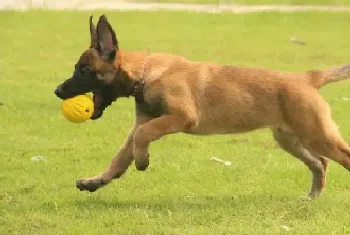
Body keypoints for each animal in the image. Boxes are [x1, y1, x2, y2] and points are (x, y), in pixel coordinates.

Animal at [54, 14, 350, 198]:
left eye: (83, 71)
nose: (57, 91)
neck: (145, 73)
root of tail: (306, 78)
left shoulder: (181, 117)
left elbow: (143, 136)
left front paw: (142, 160)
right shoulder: (142, 122)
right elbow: (122, 154)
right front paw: (97, 181)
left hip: (317, 135)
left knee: (340, 157)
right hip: (291, 139)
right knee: (320, 163)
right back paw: (312, 196)